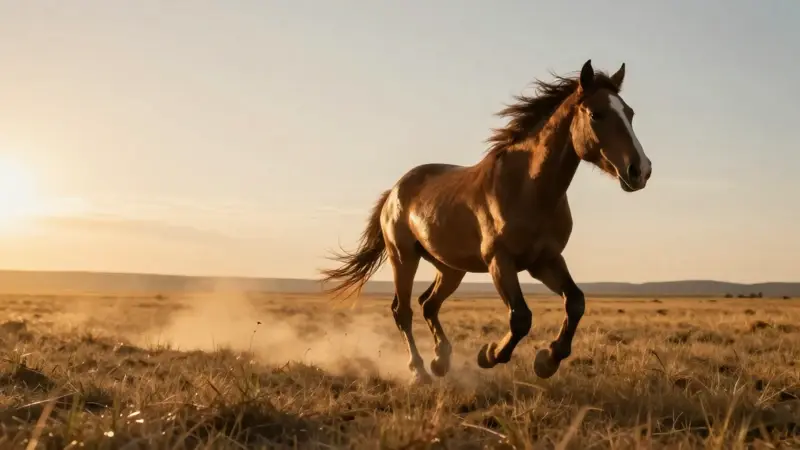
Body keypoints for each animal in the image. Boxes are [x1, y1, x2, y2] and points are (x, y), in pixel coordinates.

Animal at [320, 59, 652, 383]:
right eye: (596, 114)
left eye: (630, 113)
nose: (640, 170)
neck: (529, 187)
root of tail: (394, 191)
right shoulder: (500, 261)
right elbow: (520, 317)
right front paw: (490, 354)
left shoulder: (545, 260)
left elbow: (575, 301)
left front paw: (547, 360)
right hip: (403, 258)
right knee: (403, 311)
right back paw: (420, 371)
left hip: (450, 268)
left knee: (428, 304)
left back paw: (441, 361)